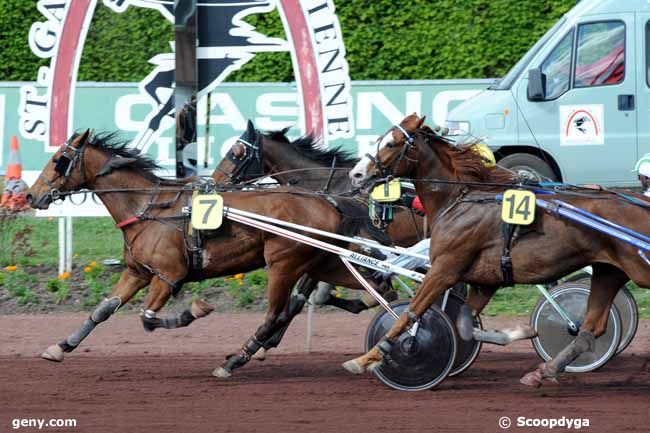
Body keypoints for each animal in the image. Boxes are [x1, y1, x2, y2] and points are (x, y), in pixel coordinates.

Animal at [26, 130, 394, 376]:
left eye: (59, 161)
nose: (31, 195)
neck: (147, 206)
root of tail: (329, 201)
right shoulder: (138, 272)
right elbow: (102, 310)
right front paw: (60, 347)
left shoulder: (168, 276)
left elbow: (148, 318)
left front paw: (194, 311)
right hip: (322, 263)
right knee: (378, 290)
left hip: (284, 264)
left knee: (275, 314)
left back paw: (234, 360)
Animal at [344, 113, 648, 386]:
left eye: (391, 143)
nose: (356, 173)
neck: (460, 201)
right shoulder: (485, 280)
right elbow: (465, 325)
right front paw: (517, 333)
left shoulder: (444, 269)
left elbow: (408, 314)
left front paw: (369, 358)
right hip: (608, 271)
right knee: (590, 330)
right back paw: (543, 371)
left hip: (637, 268)